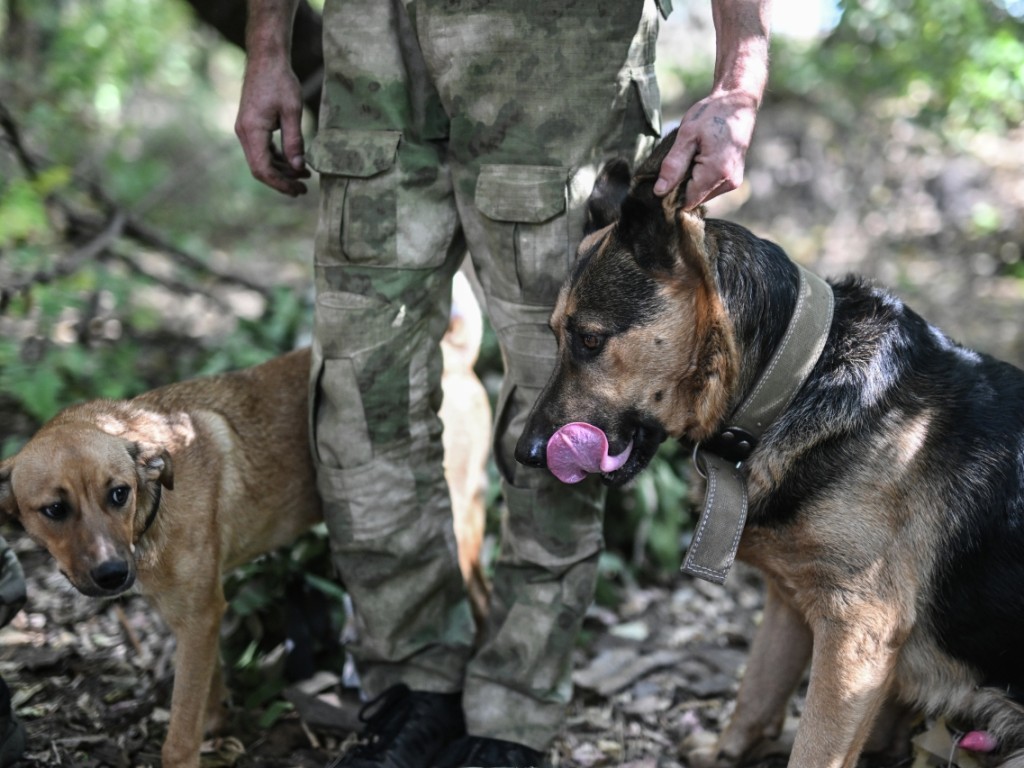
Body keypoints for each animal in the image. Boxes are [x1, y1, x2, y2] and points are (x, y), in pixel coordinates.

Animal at [0, 290, 493, 768]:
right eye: (55, 509)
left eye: (118, 493)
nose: (112, 575)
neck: (153, 506)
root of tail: (452, 352)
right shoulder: (193, 615)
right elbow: (206, 687)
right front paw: (217, 724)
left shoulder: (199, 614)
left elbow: (179, 736)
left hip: (457, 527)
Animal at [516, 134, 1024, 768]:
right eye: (554, 336)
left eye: (588, 340)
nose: (524, 453)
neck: (800, 375)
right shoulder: (790, 603)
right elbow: (756, 695)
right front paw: (724, 752)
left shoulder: (856, 631)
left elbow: (815, 747)